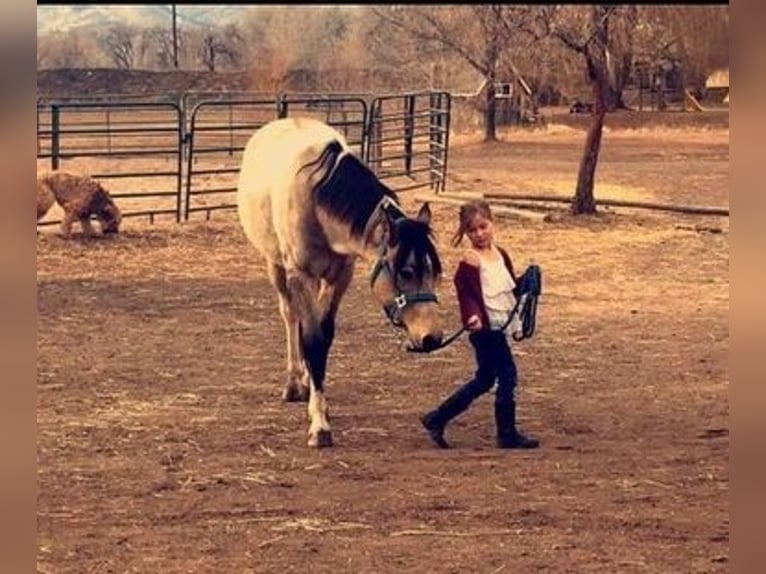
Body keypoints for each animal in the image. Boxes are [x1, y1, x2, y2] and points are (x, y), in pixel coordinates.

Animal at [238, 117, 444, 450]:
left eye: (434, 272)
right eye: (406, 272)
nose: (432, 337)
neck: (316, 197)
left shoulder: (339, 277)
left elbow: (324, 336)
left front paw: (319, 405)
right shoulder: (299, 274)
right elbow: (312, 339)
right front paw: (319, 426)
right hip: (276, 267)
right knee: (290, 317)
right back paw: (295, 382)